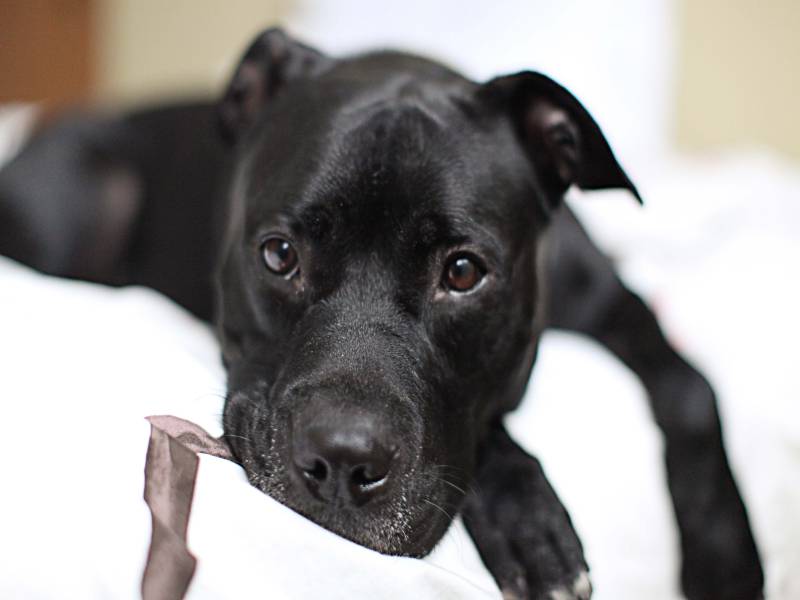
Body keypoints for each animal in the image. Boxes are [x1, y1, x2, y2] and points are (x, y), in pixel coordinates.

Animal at [0, 29, 764, 600]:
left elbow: (694, 388)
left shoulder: (614, 302)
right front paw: (528, 521)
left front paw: (728, 561)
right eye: (279, 254)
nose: (342, 459)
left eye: (463, 272)